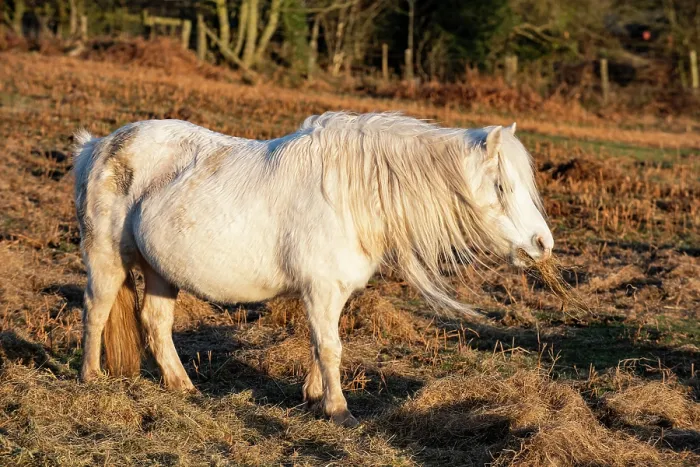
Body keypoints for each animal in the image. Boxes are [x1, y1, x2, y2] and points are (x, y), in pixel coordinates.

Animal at [72, 111, 553, 427]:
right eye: (500, 186)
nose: (542, 245)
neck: (351, 193)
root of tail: (98, 145)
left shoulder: (328, 292)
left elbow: (320, 344)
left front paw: (314, 395)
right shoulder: (321, 288)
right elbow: (330, 347)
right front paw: (339, 411)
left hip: (160, 270)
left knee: (156, 322)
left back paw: (182, 386)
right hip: (106, 256)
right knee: (96, 309)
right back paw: (91, 377)